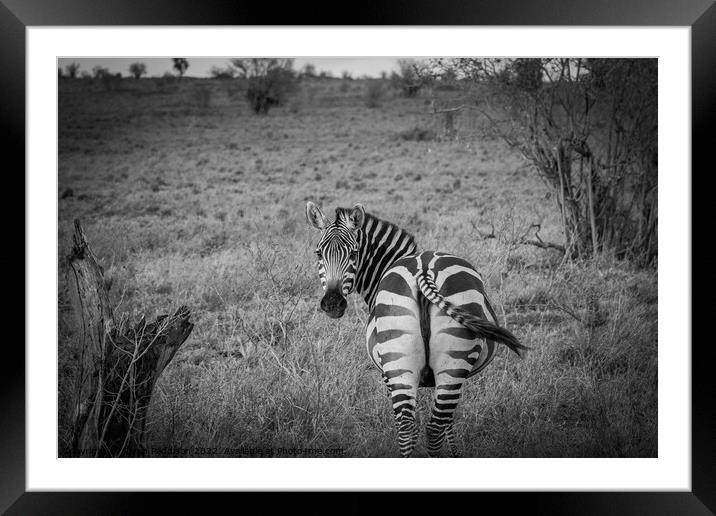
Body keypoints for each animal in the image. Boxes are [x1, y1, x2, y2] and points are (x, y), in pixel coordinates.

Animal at [304, 202, 528, 456]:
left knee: (414, 427)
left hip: (411, 361)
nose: (332, 303)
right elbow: (447, 424)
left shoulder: (388, 375)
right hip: (442, 363)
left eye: (354, 253)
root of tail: (424, 269)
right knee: (427, 427)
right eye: (319, 253)